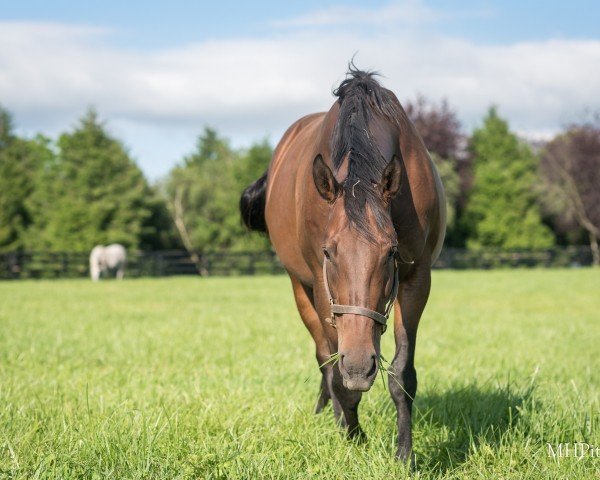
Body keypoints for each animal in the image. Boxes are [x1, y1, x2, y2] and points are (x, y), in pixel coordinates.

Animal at [240, 65, 446, 460]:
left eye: (391, 252)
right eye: (328, 252)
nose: (359, 367)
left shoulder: (417, 278)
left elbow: (402, 373)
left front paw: (404, 455)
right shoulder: (323, 289)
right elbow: (336, 372)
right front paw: (354, 438)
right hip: (300, 286)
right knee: (324, 356)